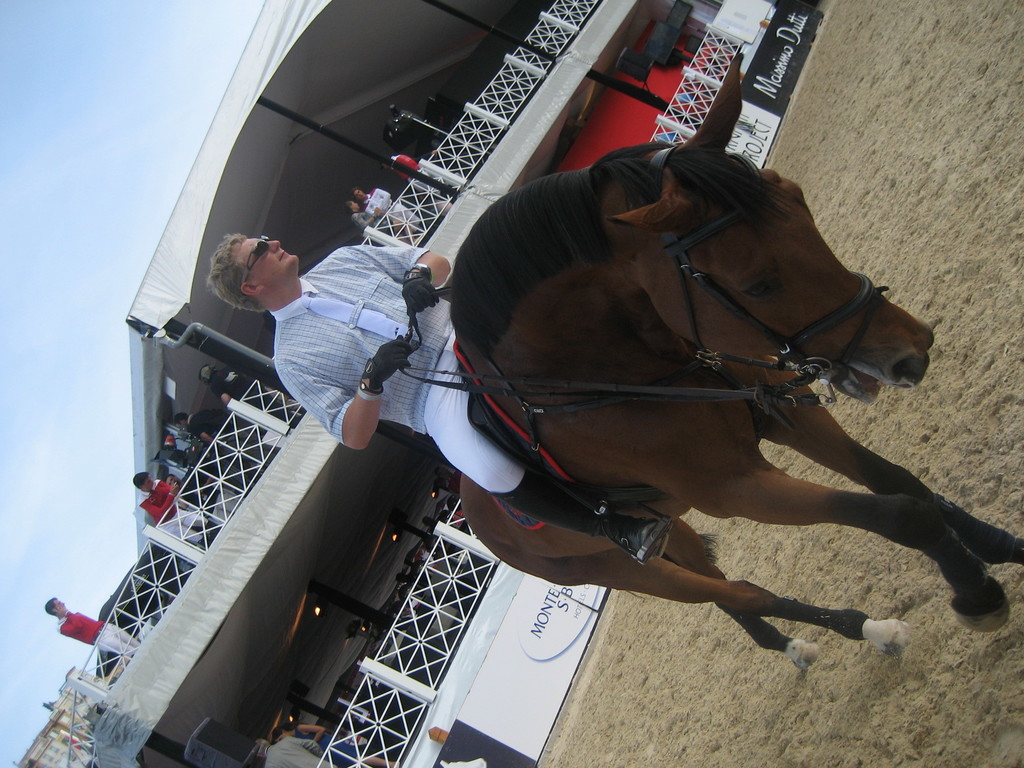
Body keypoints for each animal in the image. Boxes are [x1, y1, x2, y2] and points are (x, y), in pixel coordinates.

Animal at [444, 58, 1021, 668]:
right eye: (758, 284)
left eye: (802, 203)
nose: (913, 352)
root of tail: (473, 509)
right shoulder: (738, 488)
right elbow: (899, 514)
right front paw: (978, 594)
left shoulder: (785, 414)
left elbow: (899, 481)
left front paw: (999, 546)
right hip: (614, 567)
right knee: (739, 594)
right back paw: (851, 633)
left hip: (671, 530)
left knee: (731, 590)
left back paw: (842, 633)